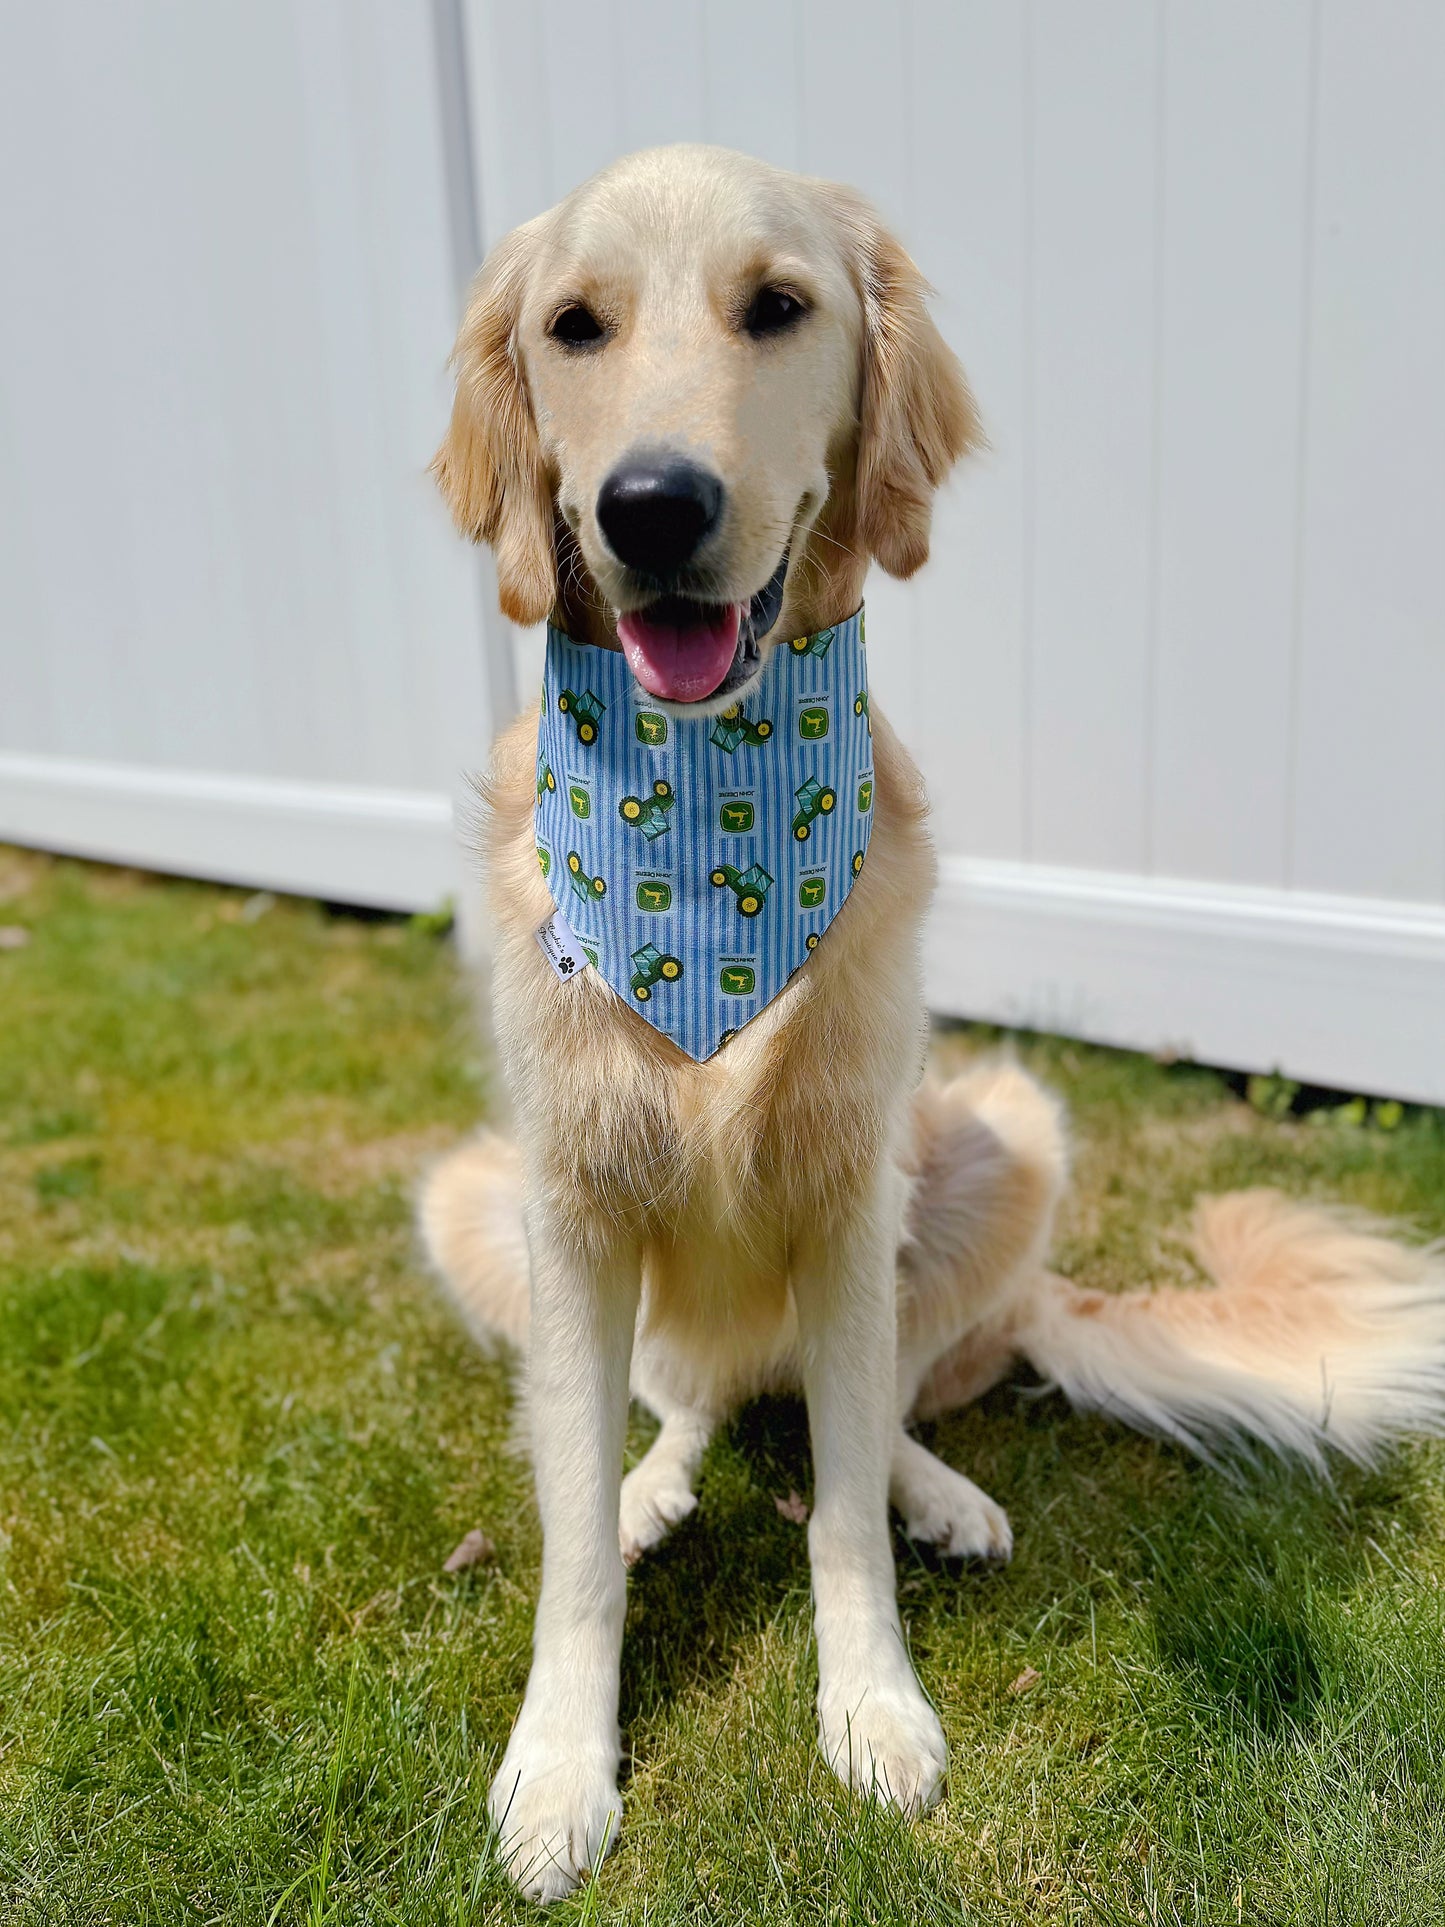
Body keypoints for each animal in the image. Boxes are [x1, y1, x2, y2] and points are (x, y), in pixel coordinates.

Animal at [421, 146, 1445, 1896]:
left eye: (777, 305)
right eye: (573, 326)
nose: (651, 506)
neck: (710, 830)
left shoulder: (849, 1202)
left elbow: (839, 1506)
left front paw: (873, 1706)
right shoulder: (567, 1198)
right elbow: (567, 1555)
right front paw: (558, 1763)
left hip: (1005, 1141)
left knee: (872, 1404)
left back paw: (937, 1489)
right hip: (473, 1195)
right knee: (676, 1405)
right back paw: (649, 1486)